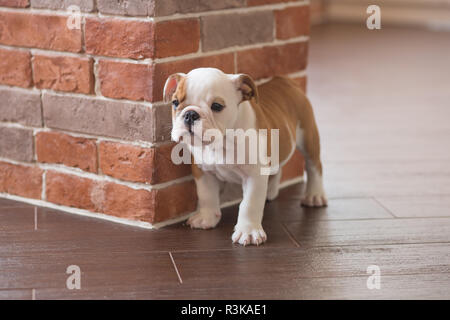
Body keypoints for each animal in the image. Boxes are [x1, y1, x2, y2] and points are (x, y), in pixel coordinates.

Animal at [163, 69, 326, 246]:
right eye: (175, 102)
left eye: (217, 106)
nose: (190, 114)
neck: (222, 142)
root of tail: (285, 81)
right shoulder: (203, 172)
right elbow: (206, 195)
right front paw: (207, 218)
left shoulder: (254, 175)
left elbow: (250, 204)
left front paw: (248, 231)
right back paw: (271, 191)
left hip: (308, 136)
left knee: (314, 166)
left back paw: (314, 196)